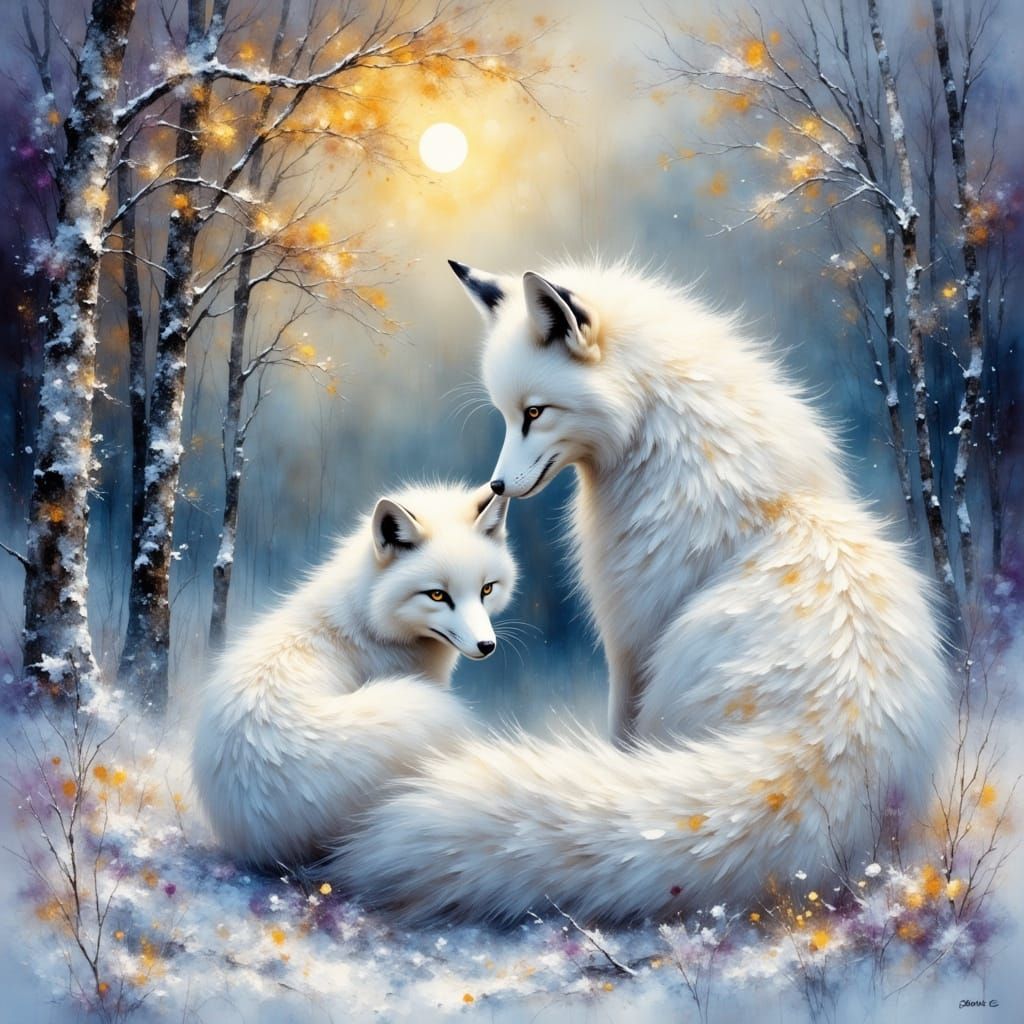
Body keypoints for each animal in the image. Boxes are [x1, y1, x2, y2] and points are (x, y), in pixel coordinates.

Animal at [325, 259, 949, 925]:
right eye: (507, 413)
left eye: (534, 412)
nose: (494, 486)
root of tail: (830, 745)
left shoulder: (631, 638)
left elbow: (618, 738)